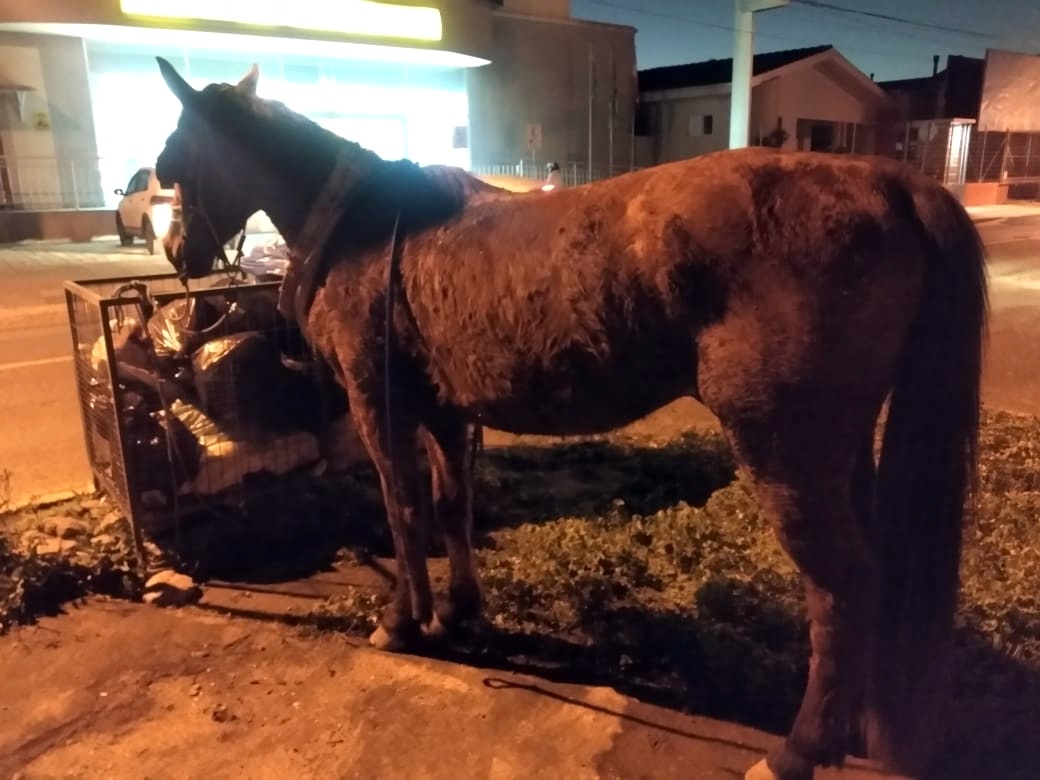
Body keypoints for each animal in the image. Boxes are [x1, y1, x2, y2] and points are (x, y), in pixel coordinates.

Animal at [153, 58, 987, 780]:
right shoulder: (444, 411)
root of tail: (887, 181)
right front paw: (460, 612)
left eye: (173, 160)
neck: (368, 229)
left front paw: (403, 622)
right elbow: (452, 506)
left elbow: (402, 510)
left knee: (841, 589)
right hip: (841, 451)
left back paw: (797, 751)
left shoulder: (377, 402)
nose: (175, 251)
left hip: (786, 449)